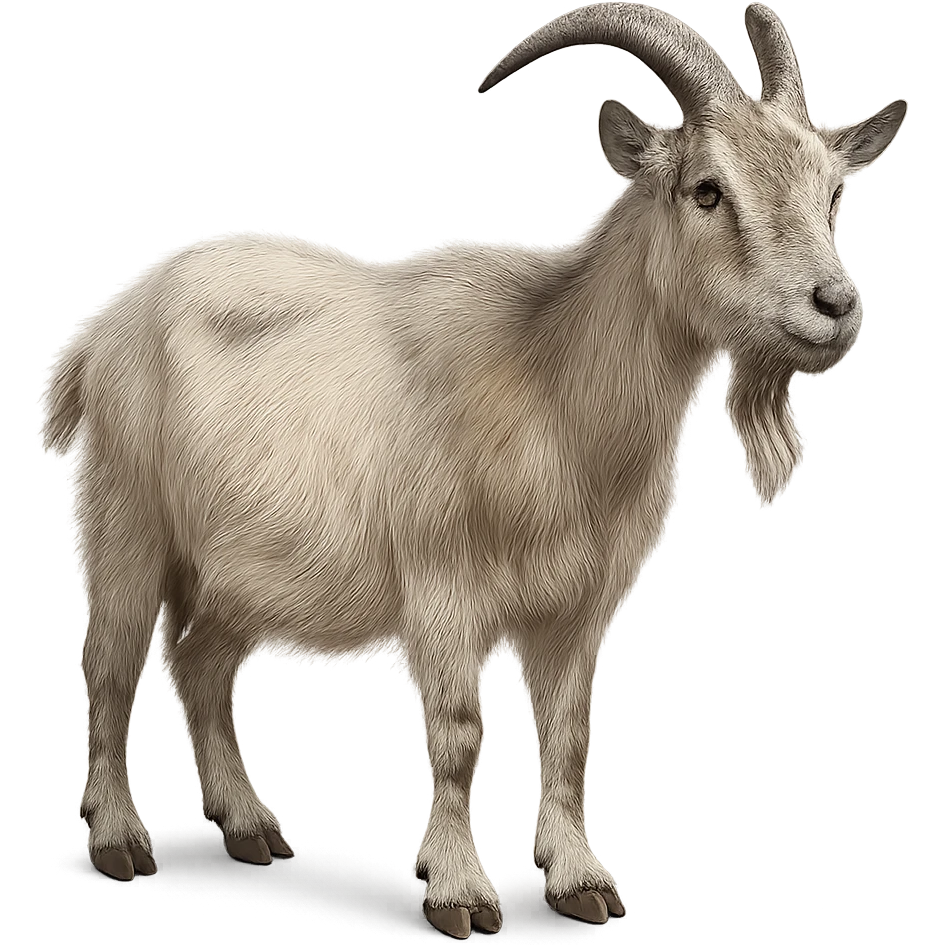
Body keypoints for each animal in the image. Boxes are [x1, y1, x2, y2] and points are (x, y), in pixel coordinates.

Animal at [38, 2, 906, 939]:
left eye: (831, 189)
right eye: (707, 189)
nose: (832, 305)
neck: (549, 380)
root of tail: (104, 329)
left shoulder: (578, 607)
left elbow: (566, 735)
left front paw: (579, 882)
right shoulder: (444, 590)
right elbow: (458, 732)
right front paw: (458, 889)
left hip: (243, 569)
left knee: (199, 661)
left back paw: (250, 825)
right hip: (128, 518)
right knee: (110, 662)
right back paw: (118, 838)